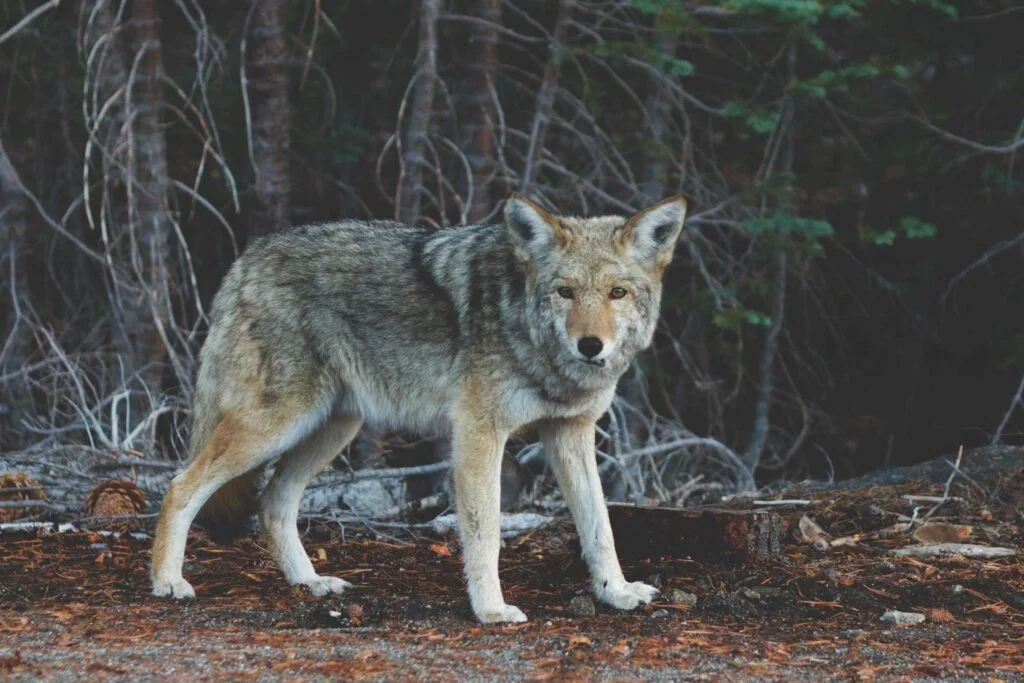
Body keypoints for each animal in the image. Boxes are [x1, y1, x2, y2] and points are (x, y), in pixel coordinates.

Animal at [150, 194, 687, 623]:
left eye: (617, 293)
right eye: (566, 291)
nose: (590, 345)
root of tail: (249, 256)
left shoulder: (570, 433)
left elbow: (600, 526)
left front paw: (617, 592)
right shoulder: (478, 434)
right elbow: (486, 532)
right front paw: (491, 610)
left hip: (332, 429)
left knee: (273, 503)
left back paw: (311, 583)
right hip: (275, 427)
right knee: (180, 486)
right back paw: (168, 582)